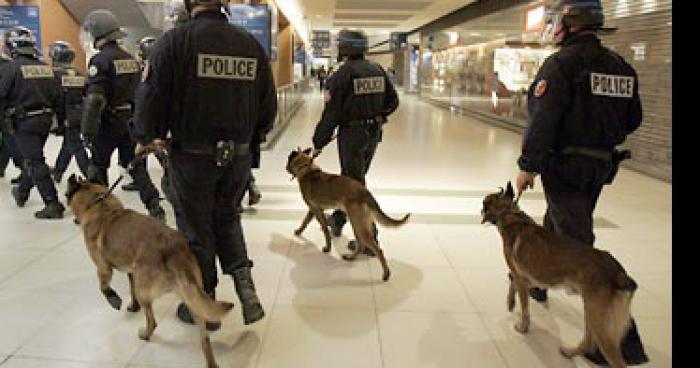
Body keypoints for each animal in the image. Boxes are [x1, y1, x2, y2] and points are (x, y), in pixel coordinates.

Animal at [65, 175, 232, 368]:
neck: (97, 202)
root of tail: (172, 247)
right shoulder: (131, 273)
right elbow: (130, 291)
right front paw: (133, 306)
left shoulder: (103, 268)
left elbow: (103, 287)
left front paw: (114, 299)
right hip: (192, 297)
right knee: (204, 338)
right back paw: (210, 361)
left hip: (146, 290)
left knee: (152, 322)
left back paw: (145, 335)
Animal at [288, 148, 412, 280]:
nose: (286, 168)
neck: (307, 169)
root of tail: (364, 192)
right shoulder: (313, 210)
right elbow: (305, 221)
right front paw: (299, 231)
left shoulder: (315, 209)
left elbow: (324, 230)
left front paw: (327, 247)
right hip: (360, 224)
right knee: (362, 245)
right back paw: (352, 257)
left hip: (358, 225)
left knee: (378, 250)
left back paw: (386, 273)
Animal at [482, 182, 640, 368]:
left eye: (484, 202)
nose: (480, 209)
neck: (510, 215)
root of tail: (617, 272)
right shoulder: (524, 278)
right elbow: (512, 283)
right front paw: (510, 302)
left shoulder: (520, 278)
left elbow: (524, 307)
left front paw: (523, 326)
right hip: (592, 312)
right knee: (588, 342)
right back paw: (570, 352)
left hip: (599, 320)